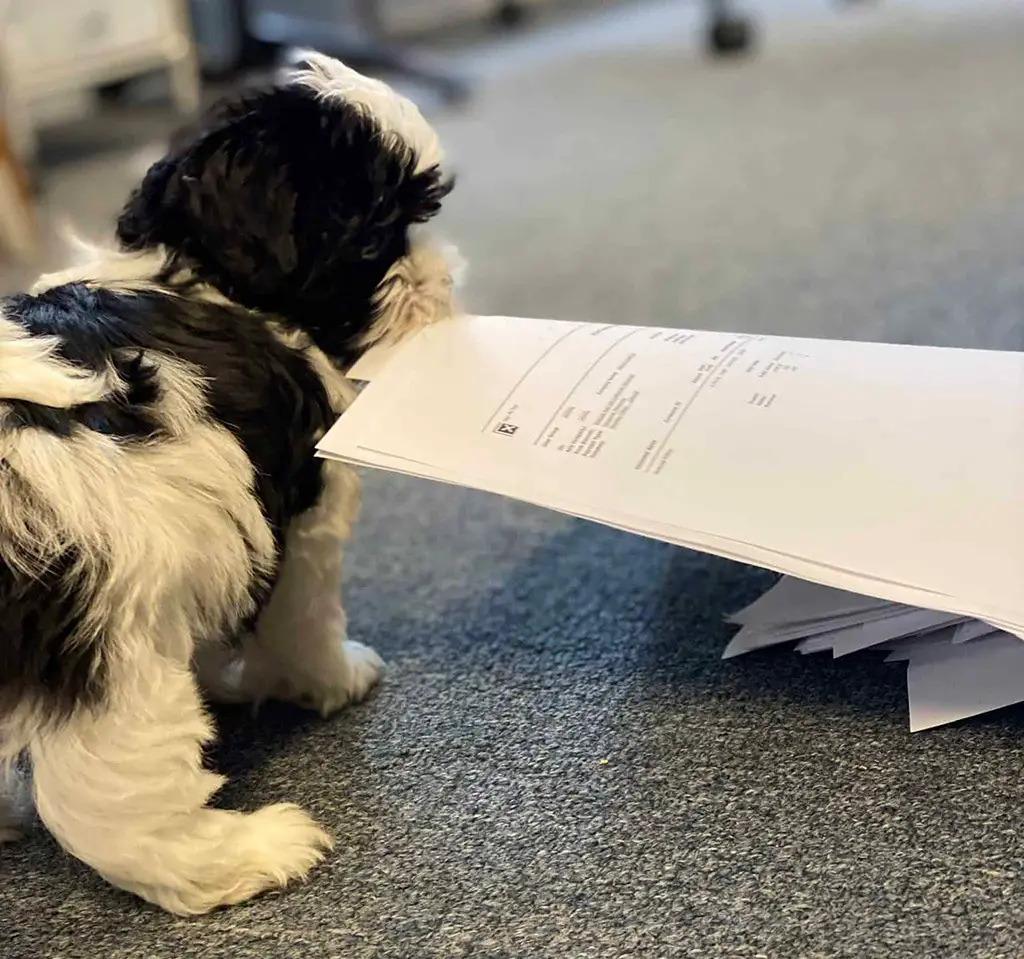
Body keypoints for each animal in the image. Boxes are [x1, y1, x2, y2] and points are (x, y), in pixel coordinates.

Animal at [0, 56, 458, 917]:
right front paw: (331, 677)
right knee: (117, 804)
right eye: (376, 237)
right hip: (112, 633)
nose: (444, 279)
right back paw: (250, 852)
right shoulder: (303, 522)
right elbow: (303, 615)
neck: (200, 278)